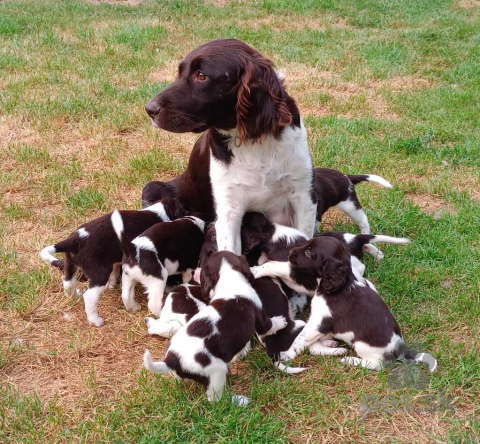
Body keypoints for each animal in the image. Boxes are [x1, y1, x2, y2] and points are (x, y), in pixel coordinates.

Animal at [39, 198, 187, 326]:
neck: (160, 211)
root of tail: (75, 239)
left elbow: (115, 272)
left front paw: (111, 285)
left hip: (70, 265)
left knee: (68, 283)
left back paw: (73, 297)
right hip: (99, 273)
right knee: (90, 296)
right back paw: (96, 321)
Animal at [141, 39, 316, 253]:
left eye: (201, 75)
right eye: (180, 72)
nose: (150, 109)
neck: (252, 142)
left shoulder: (303, 198)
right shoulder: (229, 209)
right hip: (153, 188)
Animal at [142, 253, 284, 402]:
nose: (195, 271)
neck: (230, 279)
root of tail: (173, 360)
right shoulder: (260, 317)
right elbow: (270, 325)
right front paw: (281, 321)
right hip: (217, 373)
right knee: (217, 400)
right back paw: (239, 401)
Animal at [260, 236, 436, 372]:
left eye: (309, 252)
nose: (290, 252)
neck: (340, 286)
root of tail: (401, 349)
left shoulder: (318, 322)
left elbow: (300, 339)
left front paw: (287, 354)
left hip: (362, 346)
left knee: (376, 365)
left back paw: (351, 360)